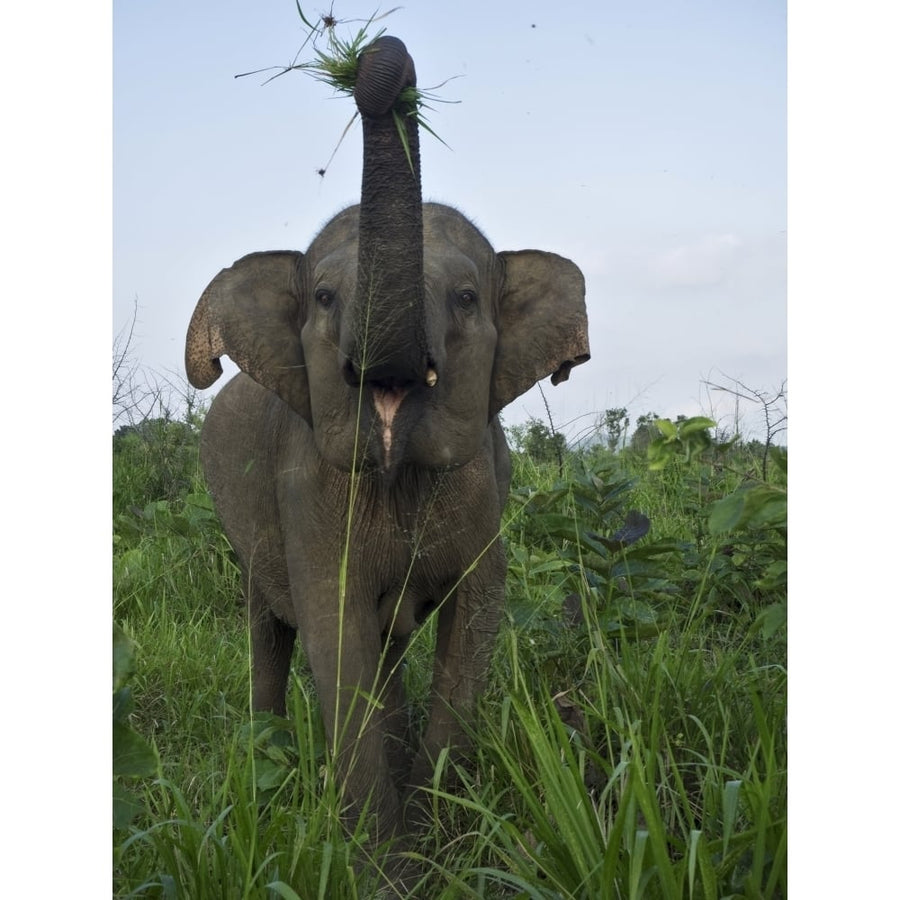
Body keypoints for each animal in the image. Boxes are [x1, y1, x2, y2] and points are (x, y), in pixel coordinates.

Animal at [185, 35, 592, 848]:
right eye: (323, 298)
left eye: (466, 299)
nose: (379, 61)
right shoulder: (306, 486)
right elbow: (335, 634)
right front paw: (380, 858)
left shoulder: (483, 488)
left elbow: (473, 619)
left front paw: (438, 841)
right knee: (268, 630)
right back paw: (269, 760)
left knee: (390, 643)